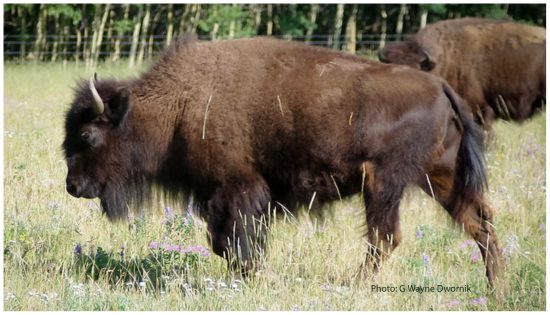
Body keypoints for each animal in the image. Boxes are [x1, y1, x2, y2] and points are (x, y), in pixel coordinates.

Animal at [63, 36, 504, 286]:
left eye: (87, 136)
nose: (72, 185)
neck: (177, 105)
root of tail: (441, 86)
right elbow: (228, 240)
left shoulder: (236, 189)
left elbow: (233, 239)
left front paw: (248, 274)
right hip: (440, 178)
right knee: (480, 223)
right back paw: (495, 287)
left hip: (383, 183)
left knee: (385, 237)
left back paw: (356, 285)